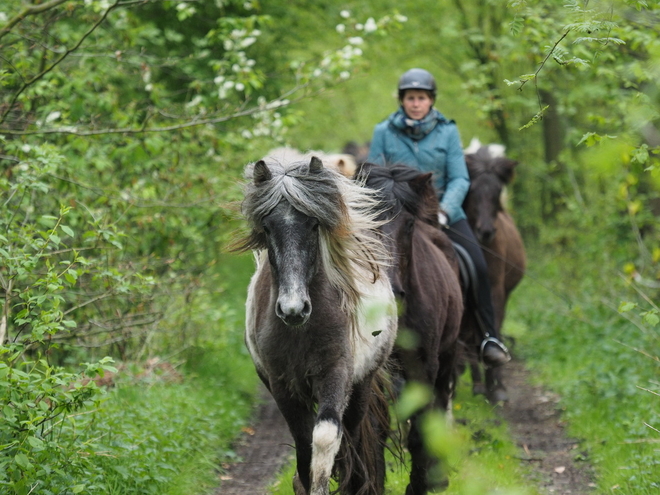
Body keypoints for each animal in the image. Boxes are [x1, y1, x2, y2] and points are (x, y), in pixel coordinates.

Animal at [232, 156, 398, 495]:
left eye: (312, 224)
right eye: (267, 227)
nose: (293, 309)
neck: (302, 330)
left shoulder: (335, 375)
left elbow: (324, 438)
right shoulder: (283, 386)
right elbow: (303, 445)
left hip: (360, 387)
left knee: (352, 441)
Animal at [356, 164, 464, 495]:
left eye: (409, 224)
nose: (390, 293)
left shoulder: (423, 366)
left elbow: (420, 432)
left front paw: (420, 485)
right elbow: (377, 429)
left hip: (447, 357)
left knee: (440, 405)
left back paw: (438, 477)